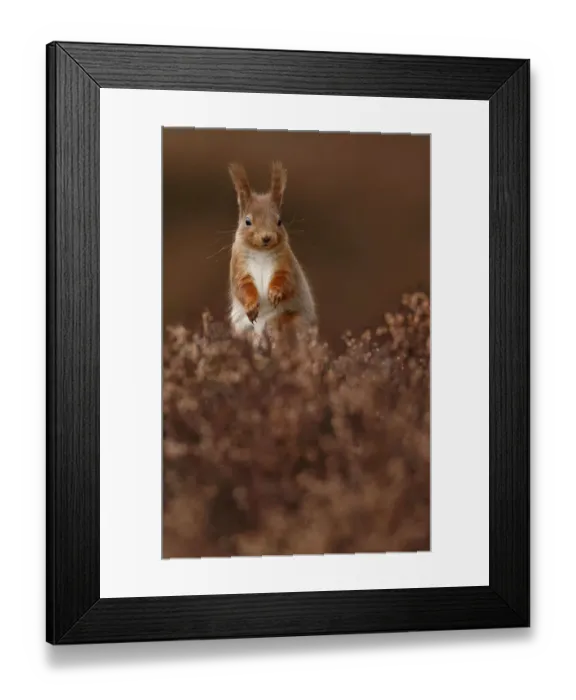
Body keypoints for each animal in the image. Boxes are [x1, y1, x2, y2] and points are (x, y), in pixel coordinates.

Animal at [227, 161, 316, 339]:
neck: (261, 252)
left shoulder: (285, 262)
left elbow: (286, 281)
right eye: (247, 221)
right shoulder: (239, 265)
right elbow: (242, 287)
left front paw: (274, 293)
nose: (266, 237)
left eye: (279, 221)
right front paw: (251, 305)